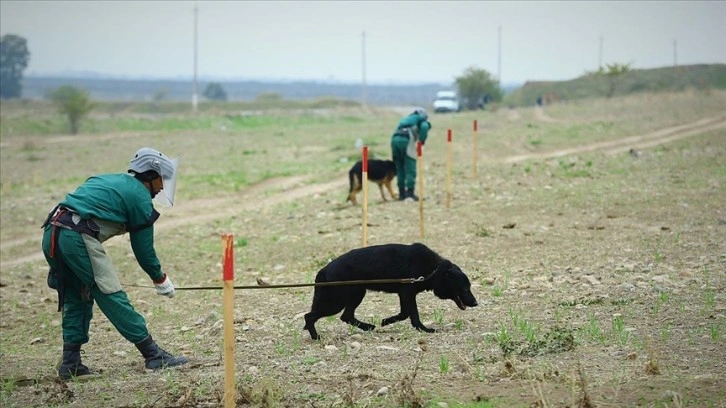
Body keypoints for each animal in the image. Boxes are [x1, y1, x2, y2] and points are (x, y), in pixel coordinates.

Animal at [304, 242, 480, 342]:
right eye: (465, 288)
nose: (476, 303)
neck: (433, 270)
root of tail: (323, 270)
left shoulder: (404, 294)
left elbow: (404, 314)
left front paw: (385, 321)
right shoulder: (408, 293)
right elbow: (413, 315)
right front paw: (423, 329)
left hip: (357, 294)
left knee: (346, 316)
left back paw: (368, 327)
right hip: (336, 302)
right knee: (309, 316)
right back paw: (316, 337)